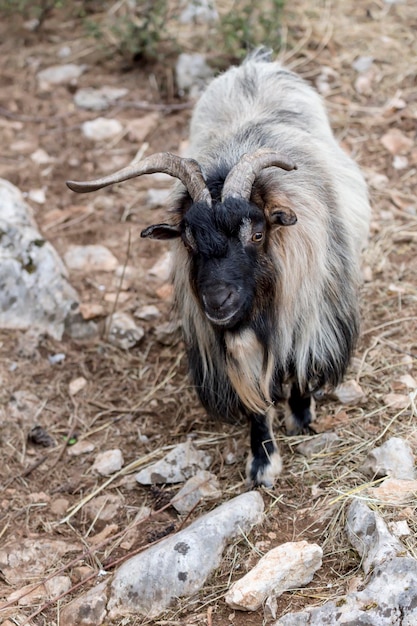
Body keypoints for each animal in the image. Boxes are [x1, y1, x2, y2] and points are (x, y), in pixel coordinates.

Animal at [66, 48, 368, 488]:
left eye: (257, 234)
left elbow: (297, 367)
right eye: (188, 240)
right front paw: (262, 463)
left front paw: (301, 415)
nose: (217, 300)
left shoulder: (308, 316)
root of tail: (254, 63)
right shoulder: (231, 347)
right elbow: (256, 401)